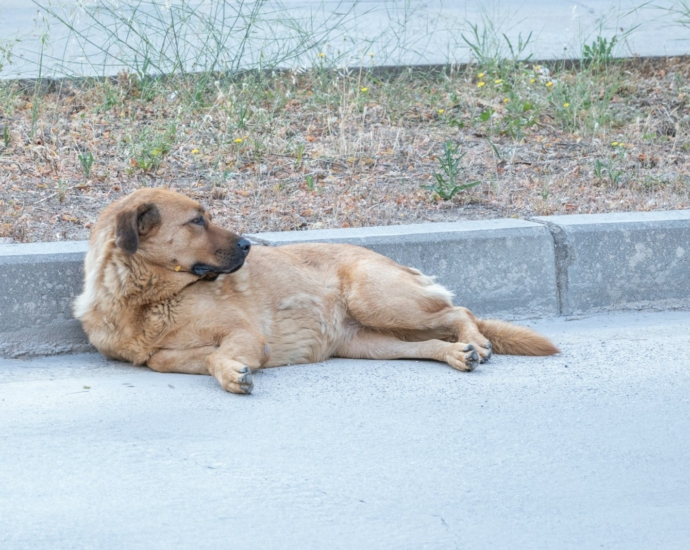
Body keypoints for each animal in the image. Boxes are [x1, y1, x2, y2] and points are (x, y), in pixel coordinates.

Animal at [74, 188, 560, 394]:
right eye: (197, 221)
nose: (248, 245)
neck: (146, 299)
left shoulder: (246, 334)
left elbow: (216, 354)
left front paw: (231, 371)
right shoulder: (158, 354)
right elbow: (162, 359)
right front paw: (224, 366)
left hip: (376, 298)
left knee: (461, 312)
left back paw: (476, 340)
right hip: (369, 344)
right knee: (430, 342)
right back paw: (459, 353)